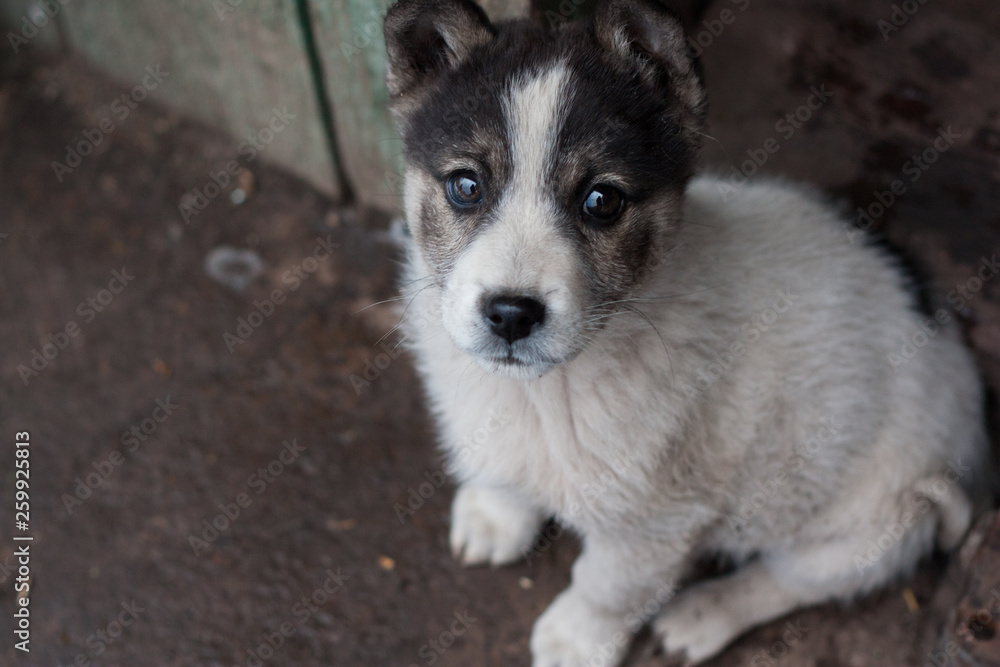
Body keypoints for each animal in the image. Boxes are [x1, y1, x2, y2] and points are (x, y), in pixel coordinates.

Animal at [382, 2, 992, 664]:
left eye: (601, 200)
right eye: (466, 186)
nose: (511, 314)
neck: (553, 385)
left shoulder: (656, 522)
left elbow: (607, 586)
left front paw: (576, 639)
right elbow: (501, 469)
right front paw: (495, 513)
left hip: (862, 528)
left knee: (786, 581)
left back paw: (702, 615)